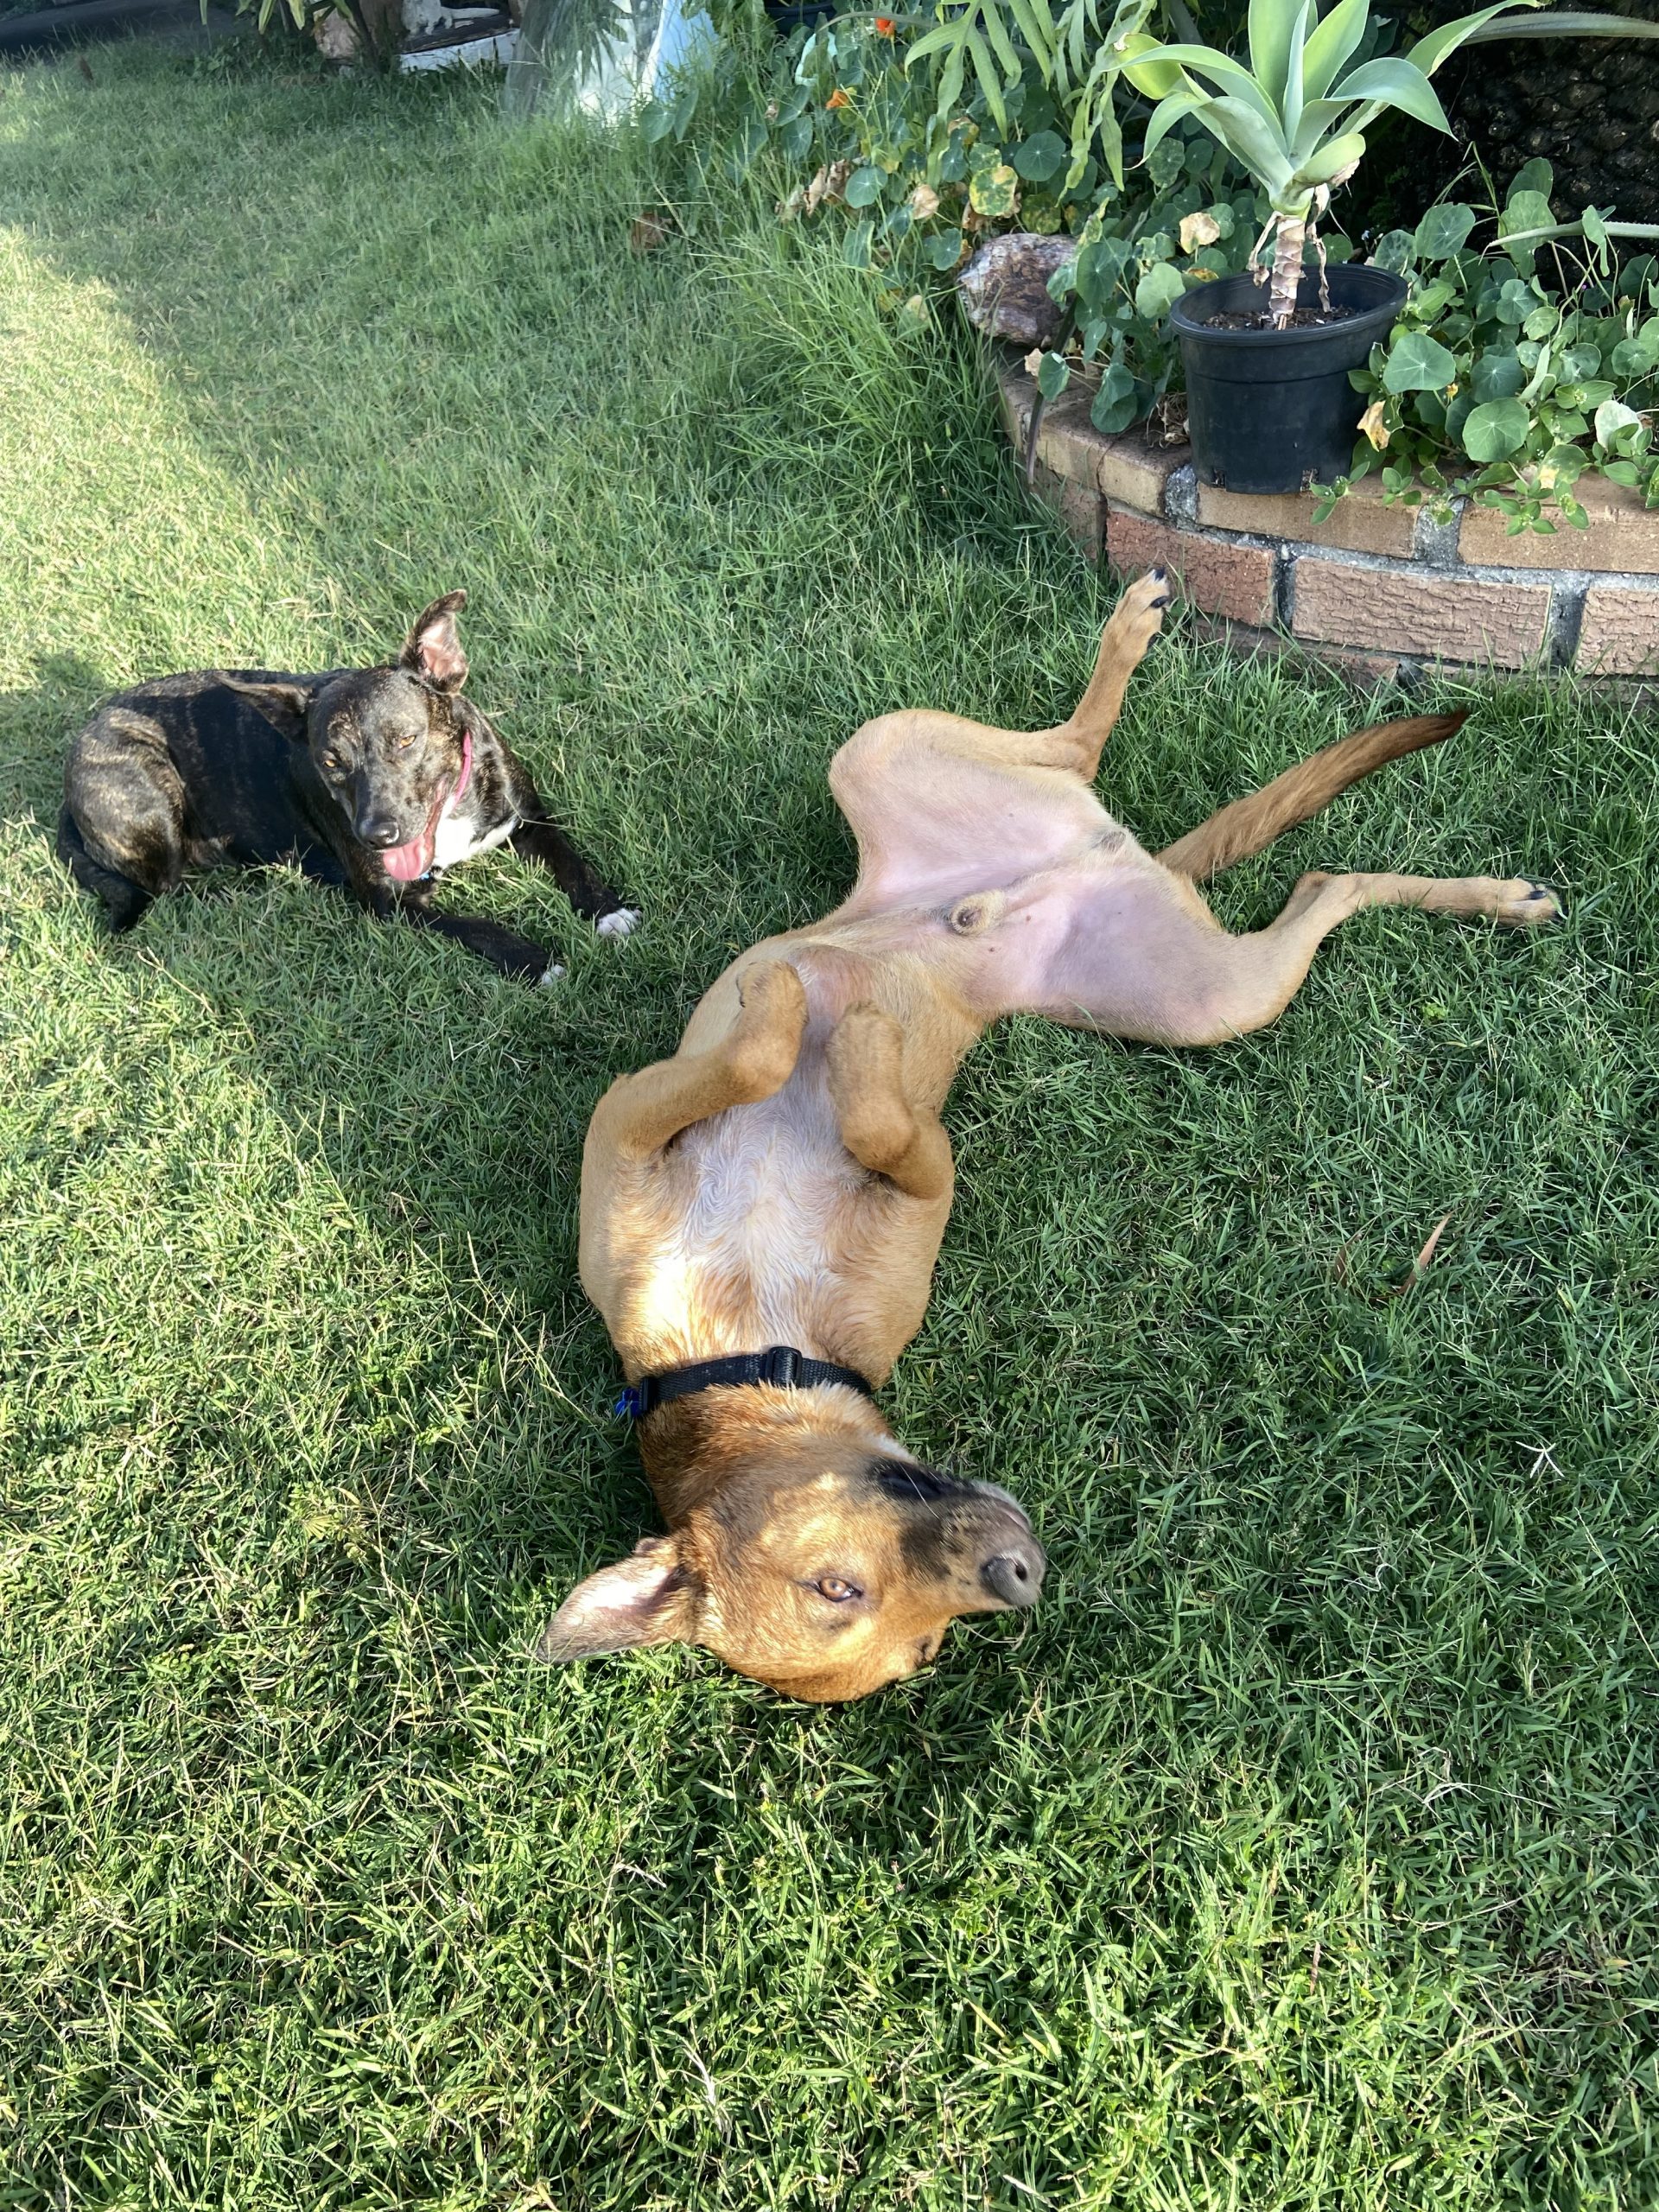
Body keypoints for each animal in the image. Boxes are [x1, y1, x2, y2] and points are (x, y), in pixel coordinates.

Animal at [58, 592, 636, 981]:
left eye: (406, 739)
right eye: (331, 761)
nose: (377, 835)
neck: (450, 815)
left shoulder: (529, 818)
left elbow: (573, 862)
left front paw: (608, 911)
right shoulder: (392, 903)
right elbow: (476, 926)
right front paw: (535, 960)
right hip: (146, 792)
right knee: (168, 884)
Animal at [539, 572, 1558, 1701]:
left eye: (831, 1586)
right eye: (910, 1636)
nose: (1020, 1573)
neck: (748, 1339)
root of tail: (1102, 857)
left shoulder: (633, 1119)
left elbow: (775, 1063)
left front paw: (821, 1018)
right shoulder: (907, 1177)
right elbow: (849, 1097)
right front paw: (853, 1040)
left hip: (878, 746)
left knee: (1080, 750)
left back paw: (1134, 633)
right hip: (1208, 994)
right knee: (1320, 884)